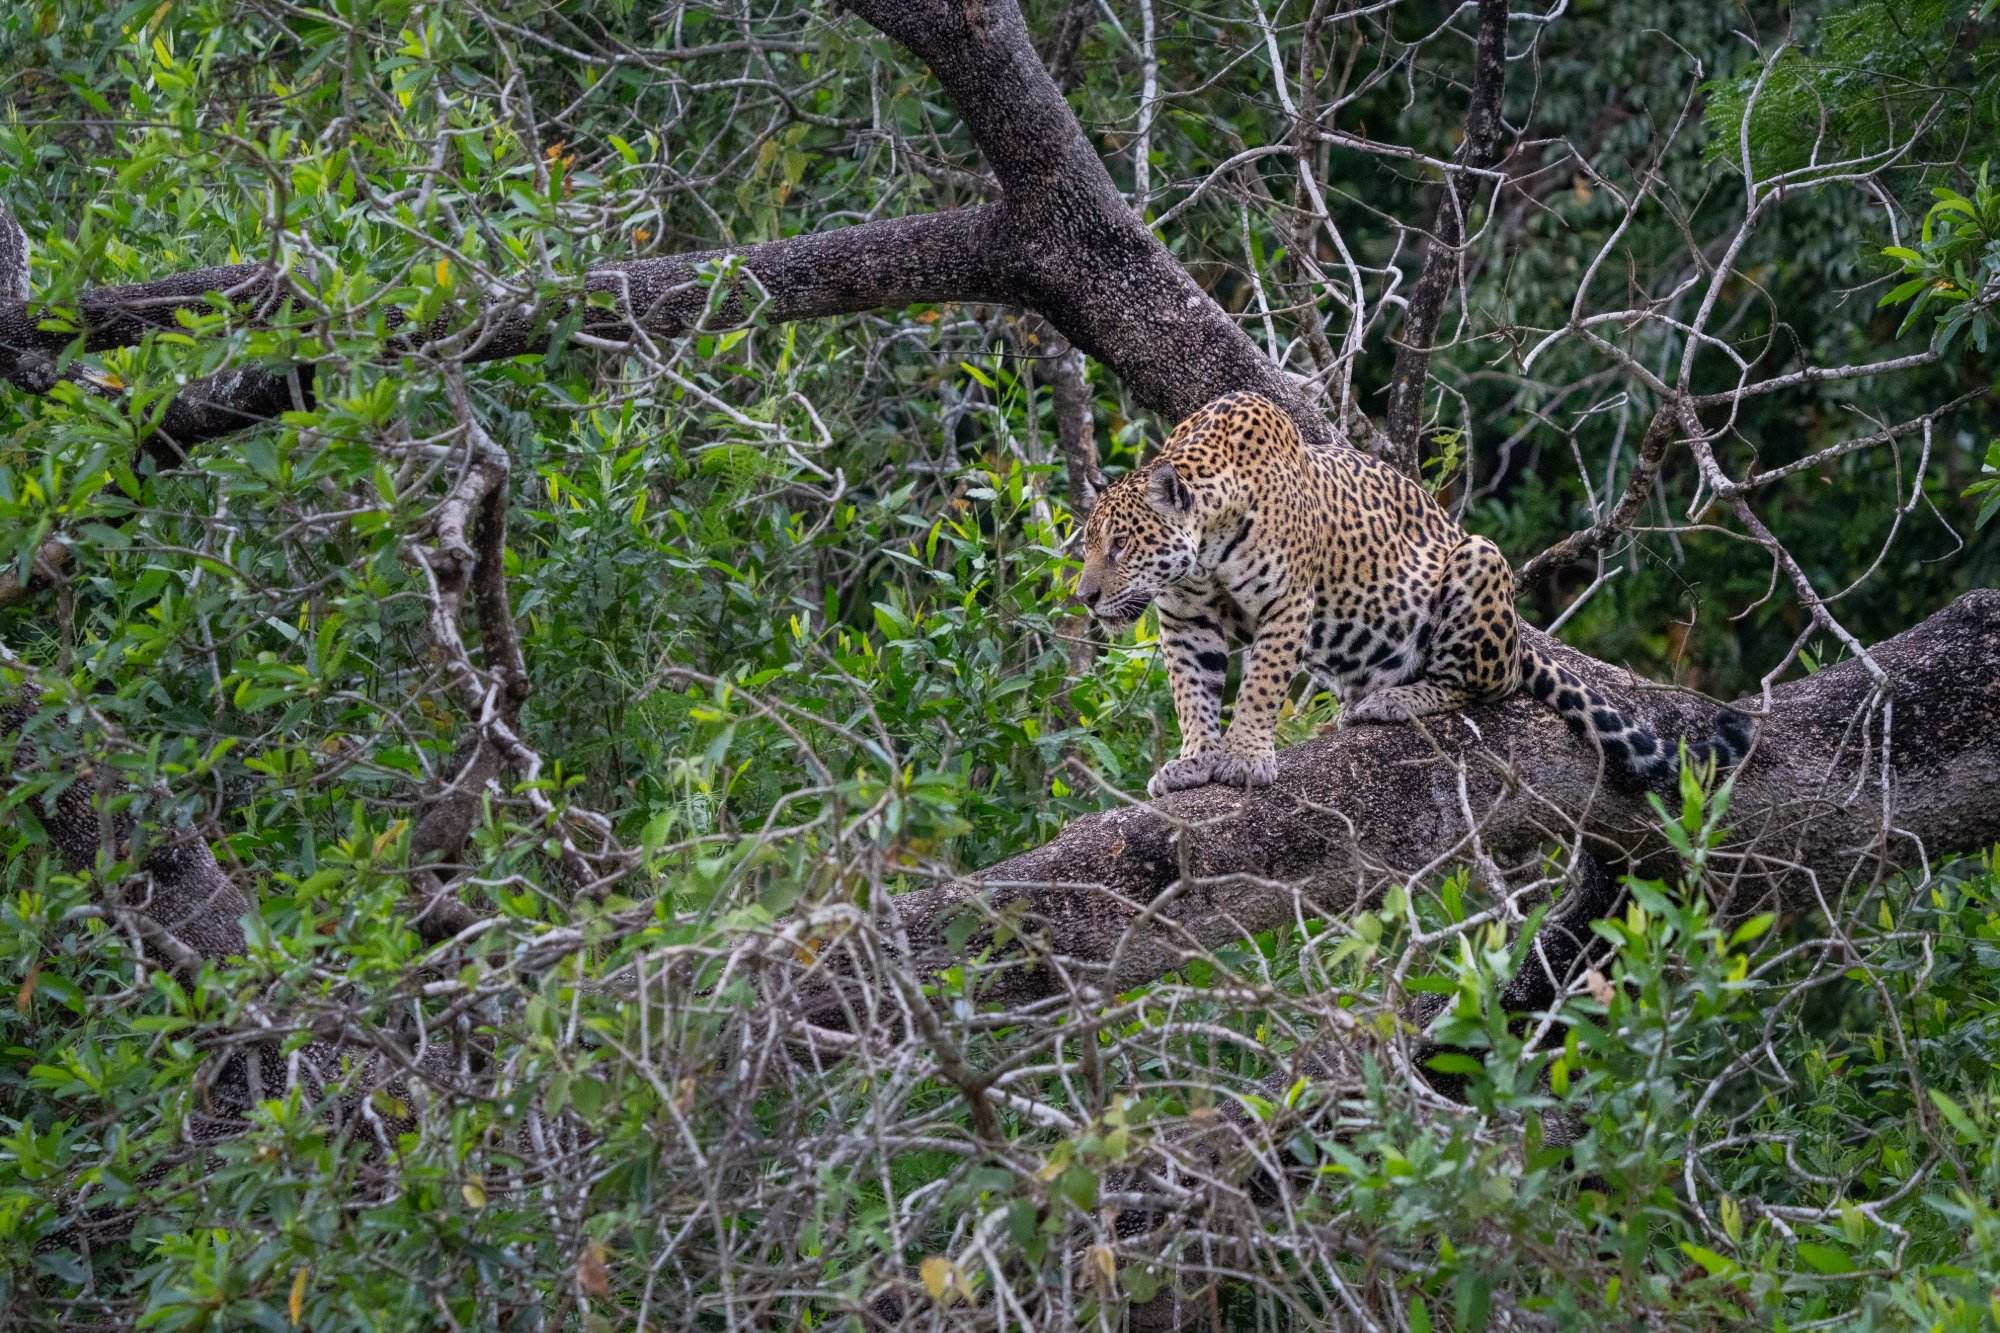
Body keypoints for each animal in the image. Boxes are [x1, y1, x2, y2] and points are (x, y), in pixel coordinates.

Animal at [1073, 390, 1752, 798]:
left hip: (1478, 561)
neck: (1206, 547)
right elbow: (1192, 692)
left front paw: (1243, 755)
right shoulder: (1184, 620)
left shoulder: (1286, 606)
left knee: (1481, 684)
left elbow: (1261, 684)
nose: (1084, 597)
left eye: (1120, 546)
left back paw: (1395, 700)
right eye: (1088, 544)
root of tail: (1518, 639)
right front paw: (1192, 759)